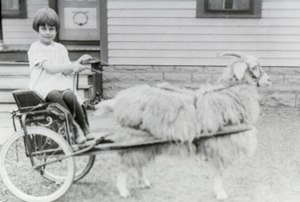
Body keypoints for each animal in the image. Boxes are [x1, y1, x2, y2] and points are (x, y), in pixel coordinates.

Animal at [95, 52, 270, 200]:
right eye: (255, 67)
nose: (269, 80)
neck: (229, 94)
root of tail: (118, 100)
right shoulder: (220, 142)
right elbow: (219, 171)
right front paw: (221, 193)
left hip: (143, 140)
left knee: (137, 162)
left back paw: (143, 182)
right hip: (134, 135)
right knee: (125, 164)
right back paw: (123, 190)